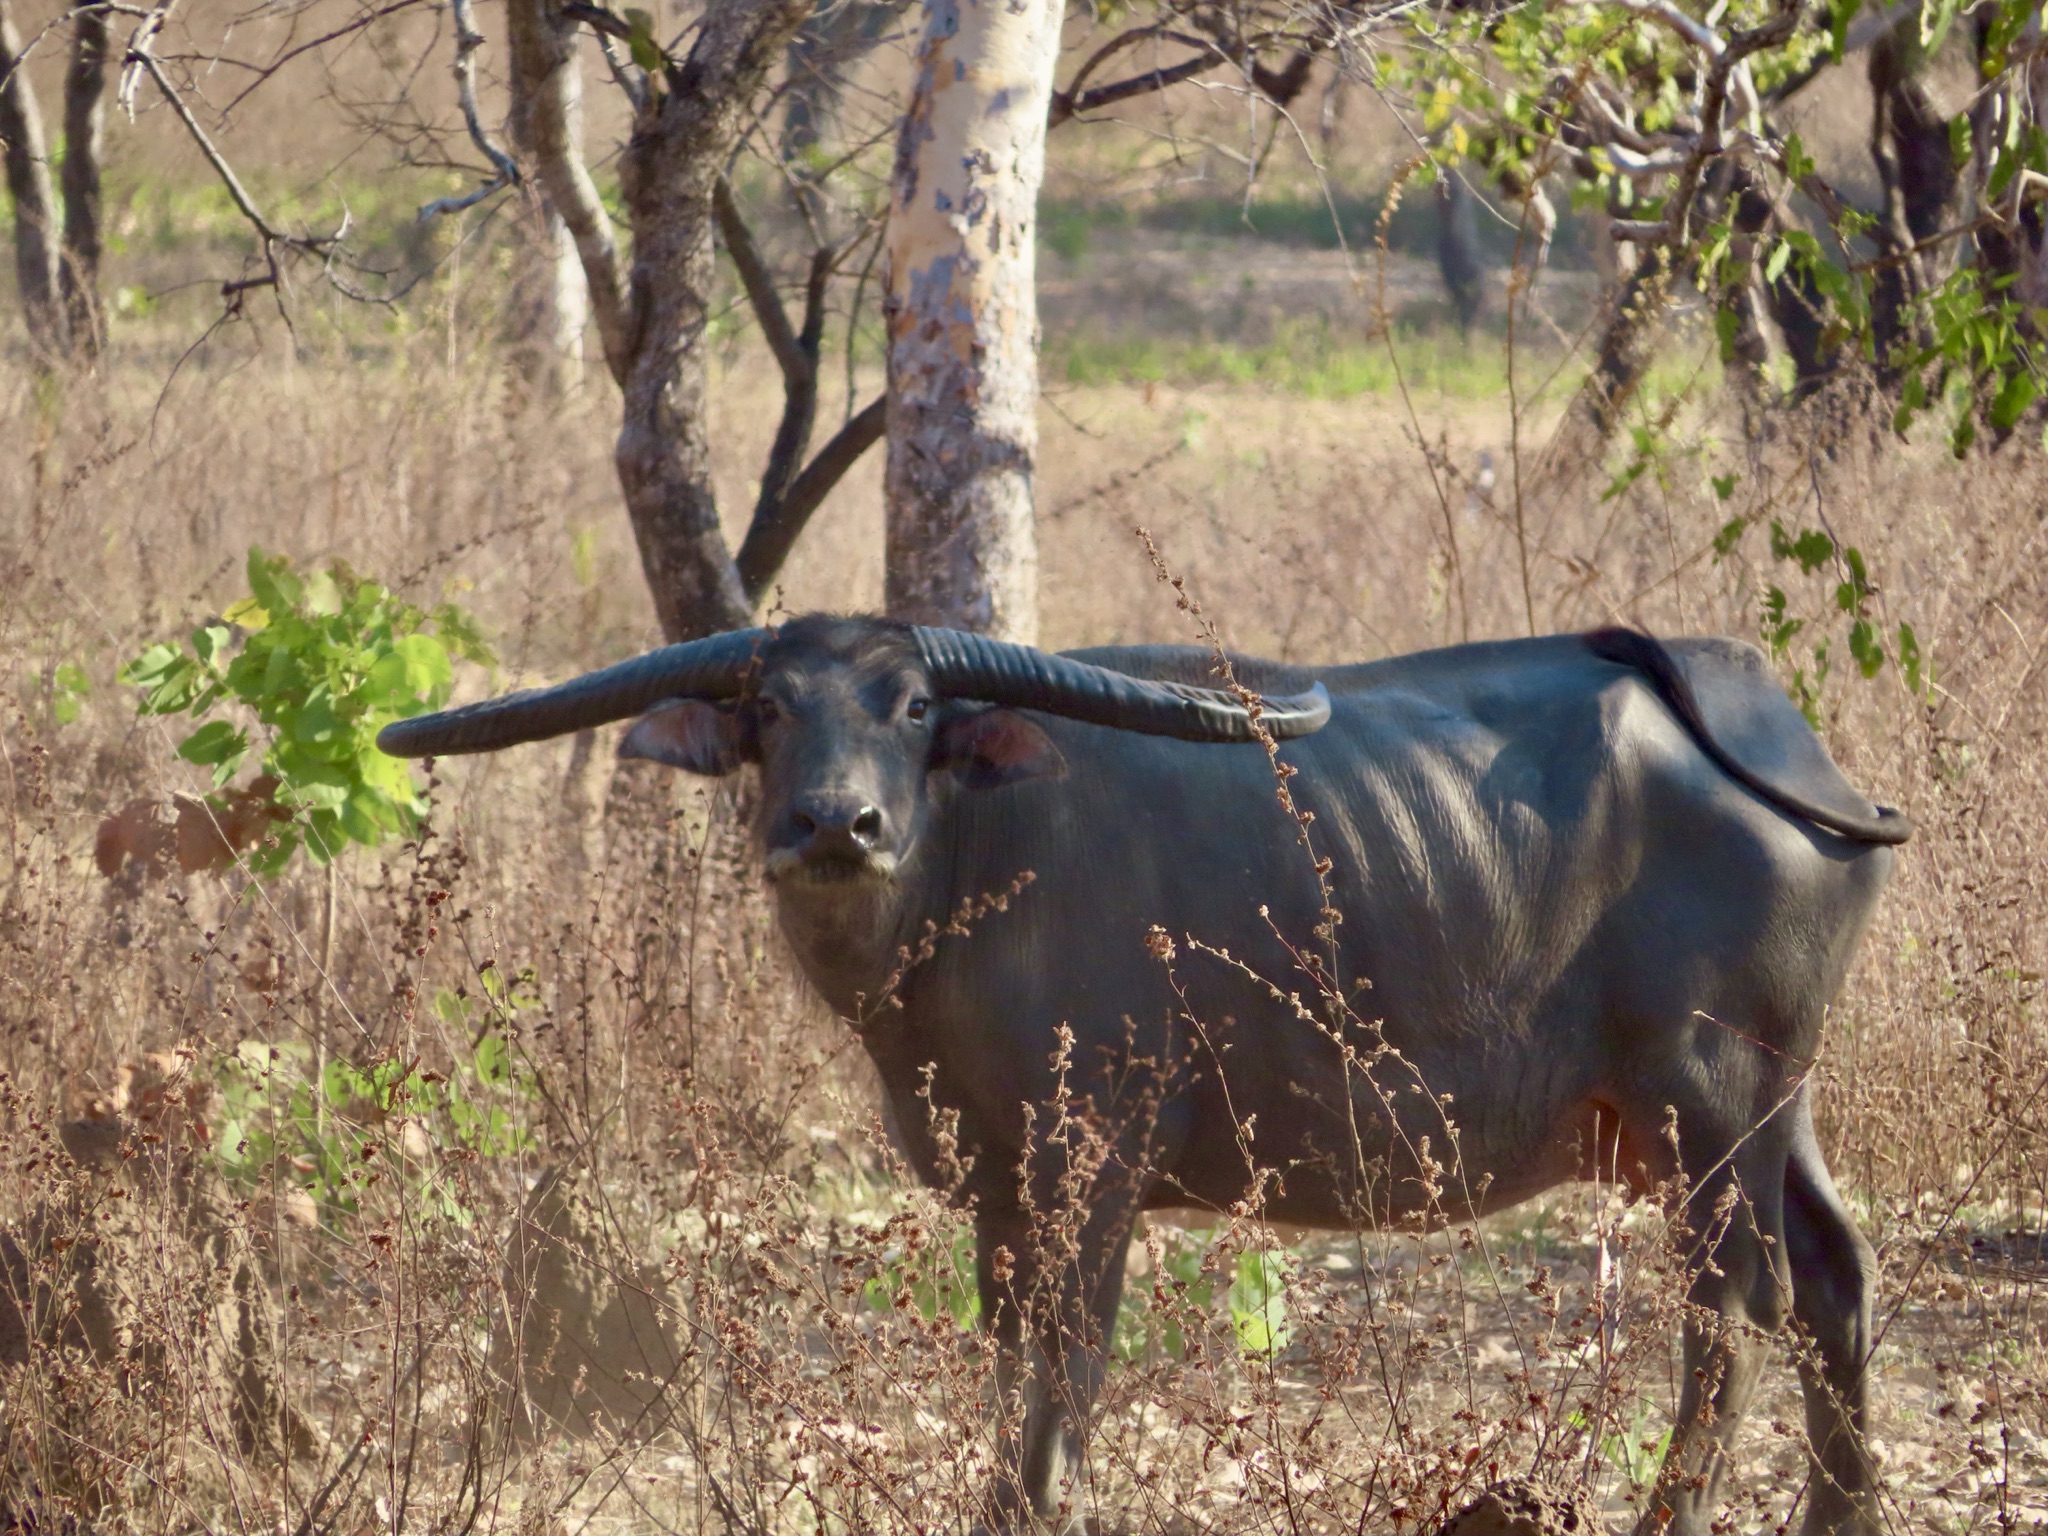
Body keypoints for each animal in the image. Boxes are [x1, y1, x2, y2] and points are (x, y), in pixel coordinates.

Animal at [379, 617, 1907, 1536]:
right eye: (763, 703)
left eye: (915, 701)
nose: (834, 824)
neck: (972, 868)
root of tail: (1766, 733)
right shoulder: (1001, 1188)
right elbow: (1007, 1363)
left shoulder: (1091, 1164)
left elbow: (1065, 1375)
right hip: (1773, 1108)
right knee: (1834, 1281)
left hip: (1707, 1108)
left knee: (1737, 1314)